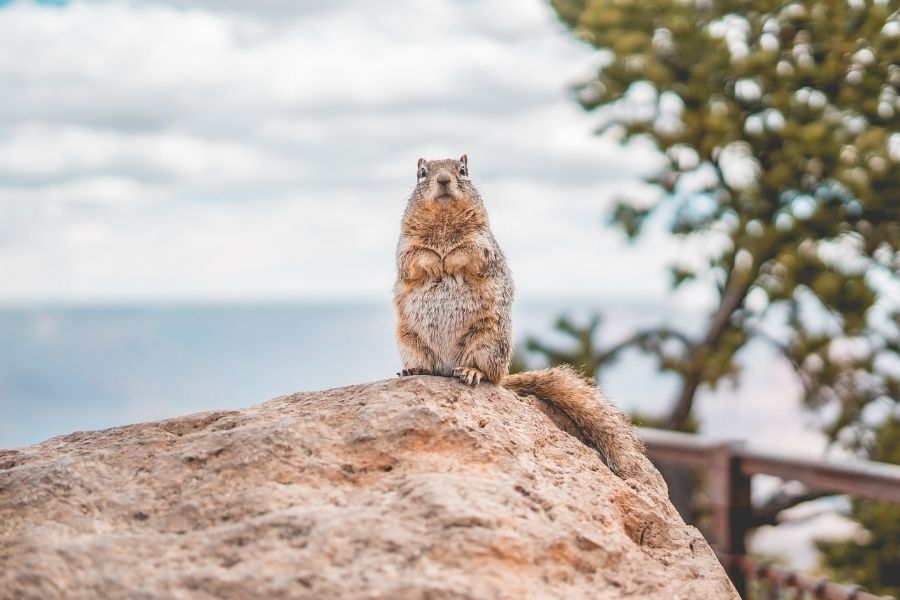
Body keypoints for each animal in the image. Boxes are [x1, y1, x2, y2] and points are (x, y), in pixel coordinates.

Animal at [393, 155, 650, 481]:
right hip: (409, 341)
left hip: (487, 342)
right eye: (423, 173)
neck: (443, 221)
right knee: (427, 364)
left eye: (462, 171)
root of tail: (447, 367)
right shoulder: (406, 244)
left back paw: (471, 372)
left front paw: (448, 262)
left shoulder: (482, 242)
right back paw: (415, 370)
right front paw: (437, 263)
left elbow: (469, 252)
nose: (443, 180)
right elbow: (416, 257)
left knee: (487, 374)